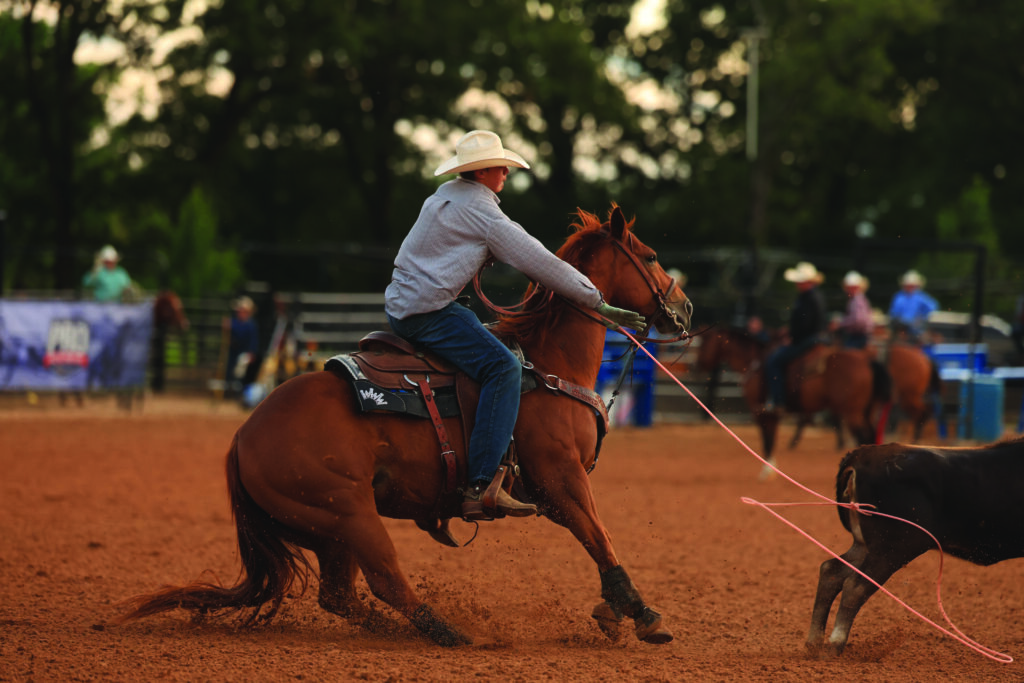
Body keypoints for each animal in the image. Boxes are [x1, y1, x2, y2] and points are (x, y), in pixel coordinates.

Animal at [115, 206, 693, 647]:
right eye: (650, 256)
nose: (684, 308)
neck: (549, 364)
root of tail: (241, 439)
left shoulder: (559, 489)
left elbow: (597, 540)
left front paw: (614, 611)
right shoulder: (560, 479)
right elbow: (599, 536)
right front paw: (643, 615)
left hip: (327, 531)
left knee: (340, 597)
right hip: (350, 515)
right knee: (387, 581)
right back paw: (454, 632)